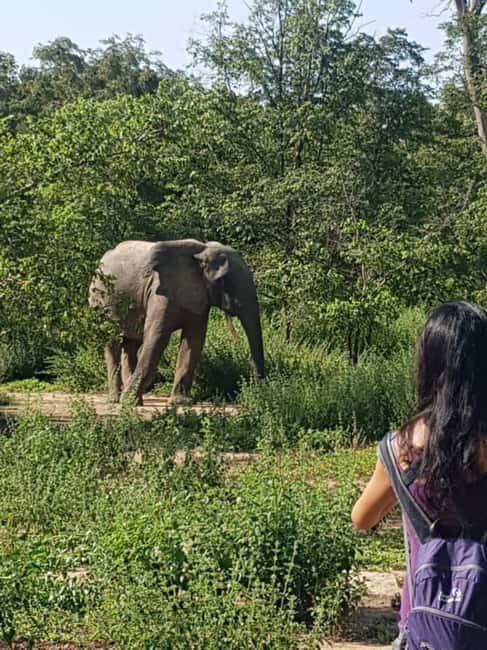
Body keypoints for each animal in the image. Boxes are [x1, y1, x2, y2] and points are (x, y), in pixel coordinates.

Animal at [88, 239, 265, 404]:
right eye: (223, 280)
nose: (254, 389)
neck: (201, 252)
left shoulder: (198, 296)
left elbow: (194, 341)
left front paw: (181, 402)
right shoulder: (161, 293)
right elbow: (157, 337)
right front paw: (128, 402)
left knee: (132, 343)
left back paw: (135, 401)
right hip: (102, 300)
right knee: (112, 342)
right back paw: (117, 400)